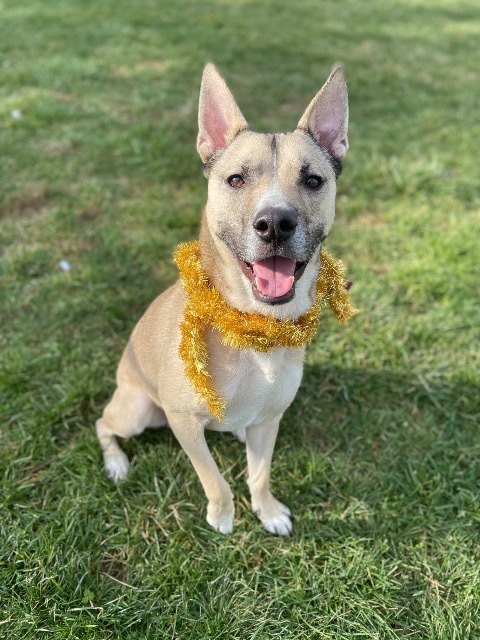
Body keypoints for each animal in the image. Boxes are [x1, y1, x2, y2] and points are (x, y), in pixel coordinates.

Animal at [94, 63, 348, 536]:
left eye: (312, 180)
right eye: (235, 179)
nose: (274, 223)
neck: (254, 328)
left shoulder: (270, 420)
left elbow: (259, 473)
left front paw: (267, 511)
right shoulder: (184, 422)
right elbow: (213, 477)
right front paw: (223, 515)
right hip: (135, 410)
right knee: (103, 422)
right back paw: (116, 463)